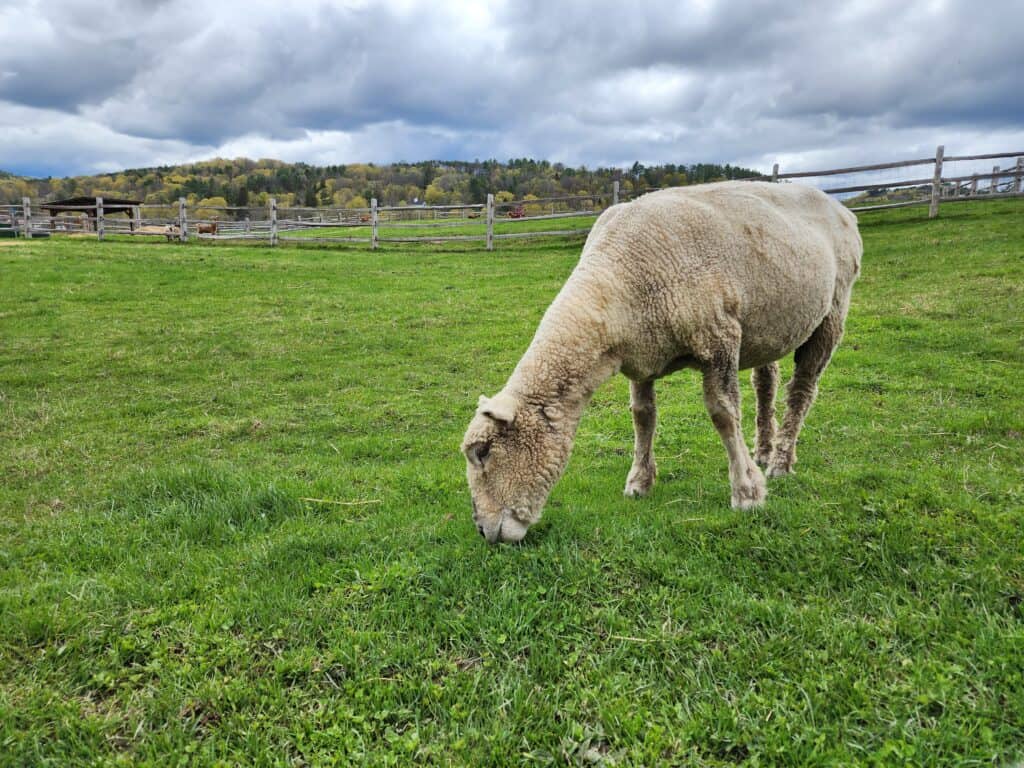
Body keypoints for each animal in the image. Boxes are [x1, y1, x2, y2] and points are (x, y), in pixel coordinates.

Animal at [464, 181, 864, 544]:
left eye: (482, 452)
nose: (483, 530)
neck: (615, 285)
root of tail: (838, 206)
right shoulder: (642, 356)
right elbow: (643, 417)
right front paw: (639, 482)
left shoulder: (719, 337)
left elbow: (723, 414)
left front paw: (747, 492)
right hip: (769, 326)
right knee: (767, 384)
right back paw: (764, 451)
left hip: (831, 311)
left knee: (802, 389)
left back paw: (781, 461)